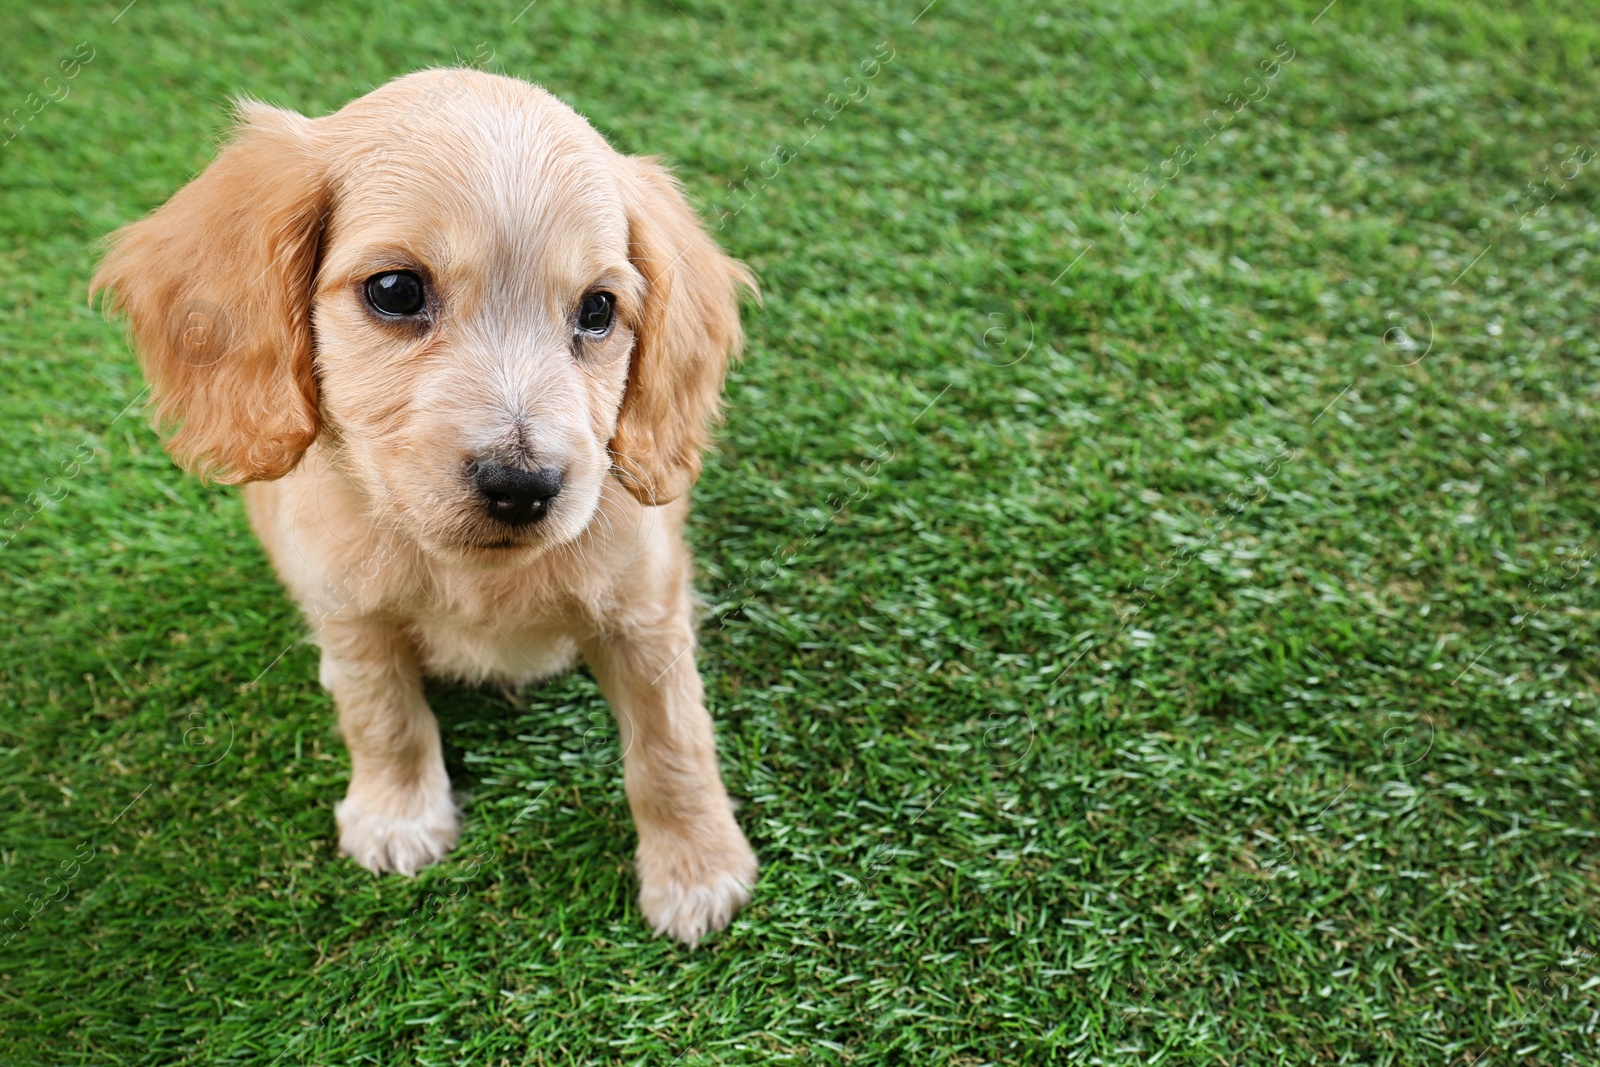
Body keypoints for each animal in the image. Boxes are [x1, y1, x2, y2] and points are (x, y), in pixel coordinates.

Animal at [93, 70, 761, 947]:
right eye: (395, 290)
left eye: (598, 311)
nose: (523, 484)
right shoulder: (350, 608)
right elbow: (383, 714)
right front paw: (398, 814)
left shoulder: (645, 608)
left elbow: (671, 740)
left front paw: (696, 864)